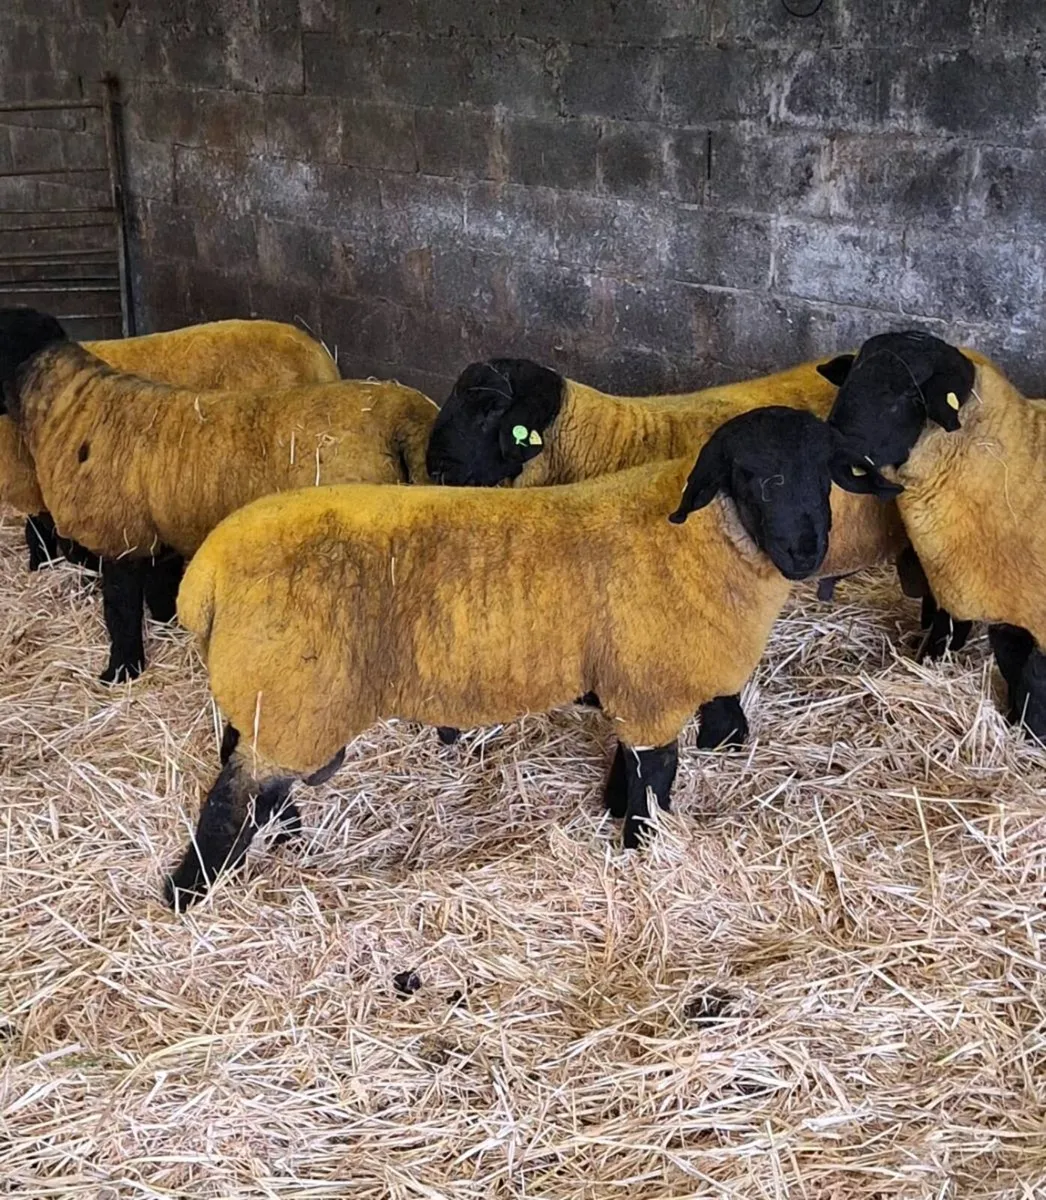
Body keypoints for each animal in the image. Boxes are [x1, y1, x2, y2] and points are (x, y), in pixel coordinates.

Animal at [0, 306, 436, 682]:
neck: (75, 406)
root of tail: (404, 418)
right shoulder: (156, 527)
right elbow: (159, 586)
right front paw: (167, 628)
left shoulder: (119, 536)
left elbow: (119, 610)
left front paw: (120, 672)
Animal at [163, 405, 890, 907]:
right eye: (752, 476)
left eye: (826, 473)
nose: (806, 551)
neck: (704, 538)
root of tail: (205, 577)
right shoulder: (650, 689)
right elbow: (655, 780)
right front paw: (640, 853)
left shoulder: (628, 686)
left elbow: (630, 769)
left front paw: (615, 814)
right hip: (294, 693)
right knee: (230, 799)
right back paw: (188, 893)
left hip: (268, 694)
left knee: (249, 773)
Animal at [826, 330, 1046, 739]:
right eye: (849, 380)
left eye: (909, 397)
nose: (833, 450)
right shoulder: (1003, 610)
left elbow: (1035, 682)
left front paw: (1030, 735)